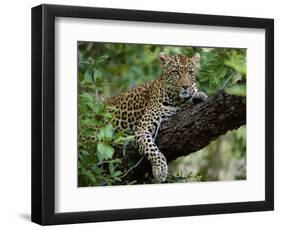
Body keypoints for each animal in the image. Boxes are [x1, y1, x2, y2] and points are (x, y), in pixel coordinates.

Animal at [106, 52, 207, 183]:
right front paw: (160, 169)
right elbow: (152, 149)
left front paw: (199, 95)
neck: (178, 100)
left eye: (190, 72)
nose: (185, 86)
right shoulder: (142, 129)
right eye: (176, 72)